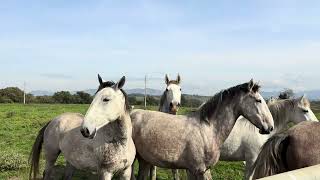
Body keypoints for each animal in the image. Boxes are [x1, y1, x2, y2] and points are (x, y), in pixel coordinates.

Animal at [131, 79, 274, 179]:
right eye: (258, 100)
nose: (270, 127)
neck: (208, 129)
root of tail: (131, 113)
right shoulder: (199, 170)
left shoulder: (199, 170)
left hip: (144, 160)